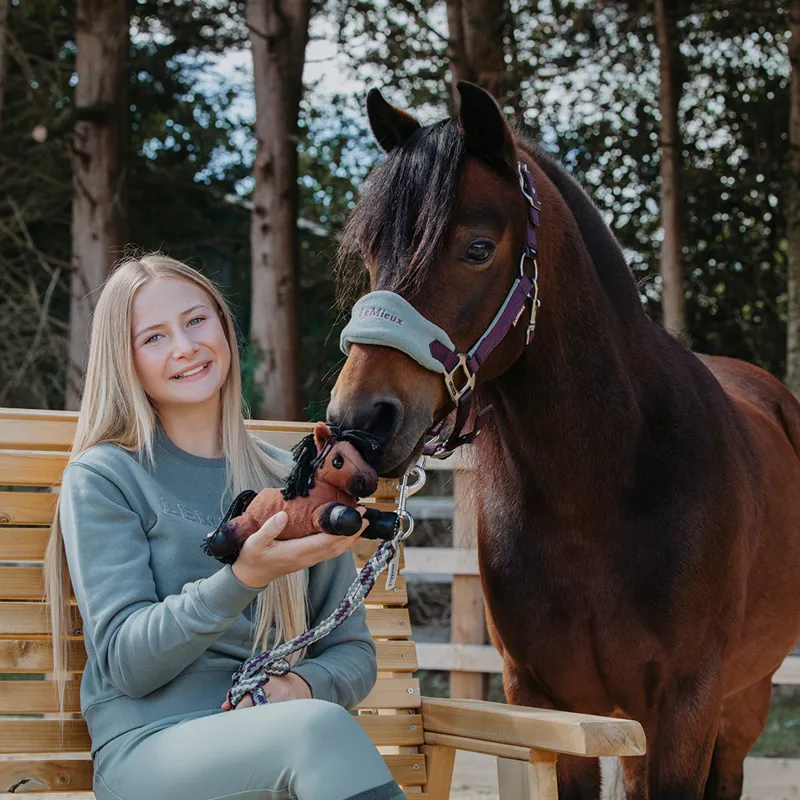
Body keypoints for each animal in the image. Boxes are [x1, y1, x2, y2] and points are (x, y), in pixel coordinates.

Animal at [327, 82, 800, 800]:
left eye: (477, 248)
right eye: (375, 249)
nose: (362, 420)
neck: (599, 493)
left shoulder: (688, 701)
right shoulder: (549, 702)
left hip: (743, 699)